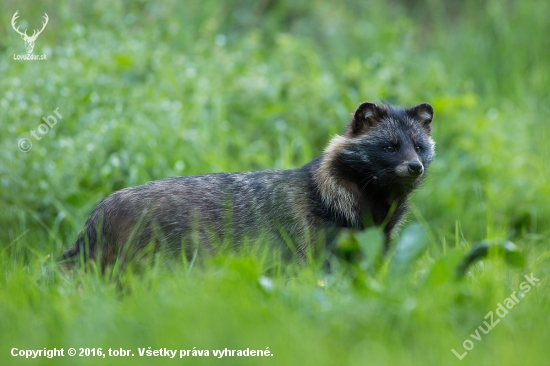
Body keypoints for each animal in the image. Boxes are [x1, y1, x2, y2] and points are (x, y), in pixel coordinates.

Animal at [61, 101, 436, 268]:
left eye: (418, 146)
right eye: (389, 147)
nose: (414, 167)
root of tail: (100, 213)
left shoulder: (375, 241)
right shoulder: (315, 235)